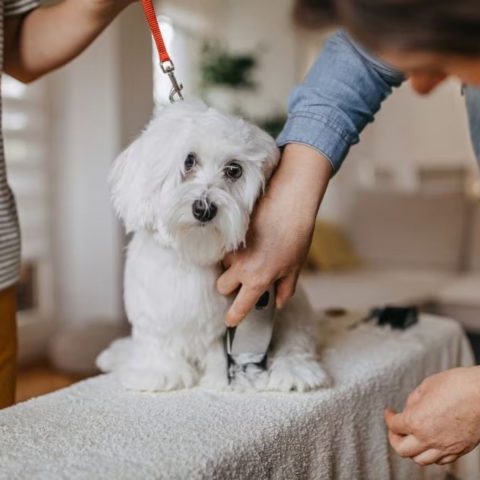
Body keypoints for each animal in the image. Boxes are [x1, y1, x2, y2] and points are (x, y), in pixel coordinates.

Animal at [97, 101, 330, 394]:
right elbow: (157, 340)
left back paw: (294, 370)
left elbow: (219, 349)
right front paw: (159, 372)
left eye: (233, 170)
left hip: (291, 306)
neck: (193, 253)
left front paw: (225, 378)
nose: (204, 208)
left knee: (296, 340)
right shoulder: (153, 309)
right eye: (188, 161)